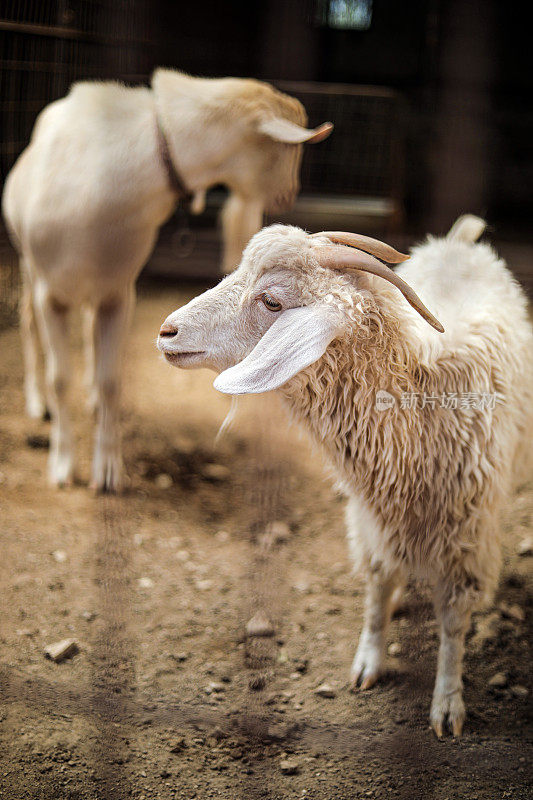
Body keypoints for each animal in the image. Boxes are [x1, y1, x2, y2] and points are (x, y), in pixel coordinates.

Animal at [2, 69, 330, 490]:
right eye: (287, 150)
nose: (289, 194)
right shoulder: (51, 294)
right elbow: (60, 379)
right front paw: (62, 467)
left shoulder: (119, 291)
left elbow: (111, 380)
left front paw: (108, 471)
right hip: (29, 266)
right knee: (29, 322)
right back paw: (37, 402)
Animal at [157, 217, 532, 736]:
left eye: (272, 302)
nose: (167, 331)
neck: (420, 396)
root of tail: (460, 241)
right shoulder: (369, 519)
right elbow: (376, 589)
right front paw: (368, 661)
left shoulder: (468, 536)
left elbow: (454, 624)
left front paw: (447, 702)